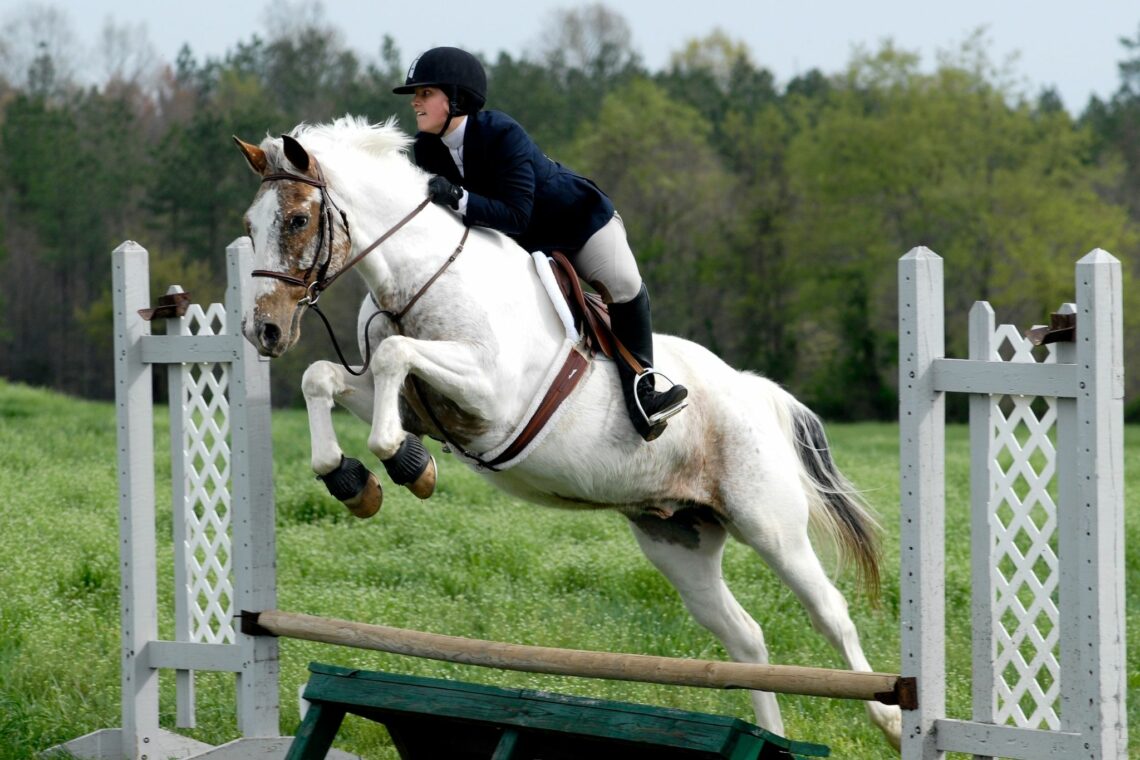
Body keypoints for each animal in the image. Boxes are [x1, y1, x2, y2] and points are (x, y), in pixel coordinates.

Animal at [233, 114, 902, 749]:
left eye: (297, 219)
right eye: (251, 224)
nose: (263, 331)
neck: (422, 276)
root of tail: (755, 391)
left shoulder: (491, 396)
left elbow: (395, 365)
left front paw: (404, 464)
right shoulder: (407, 396)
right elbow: (322, 378)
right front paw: (355, 482)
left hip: (768, 523)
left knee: (831, 613)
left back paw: (891, 720)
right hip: (678, 540)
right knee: (745, 640)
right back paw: (771, 736)